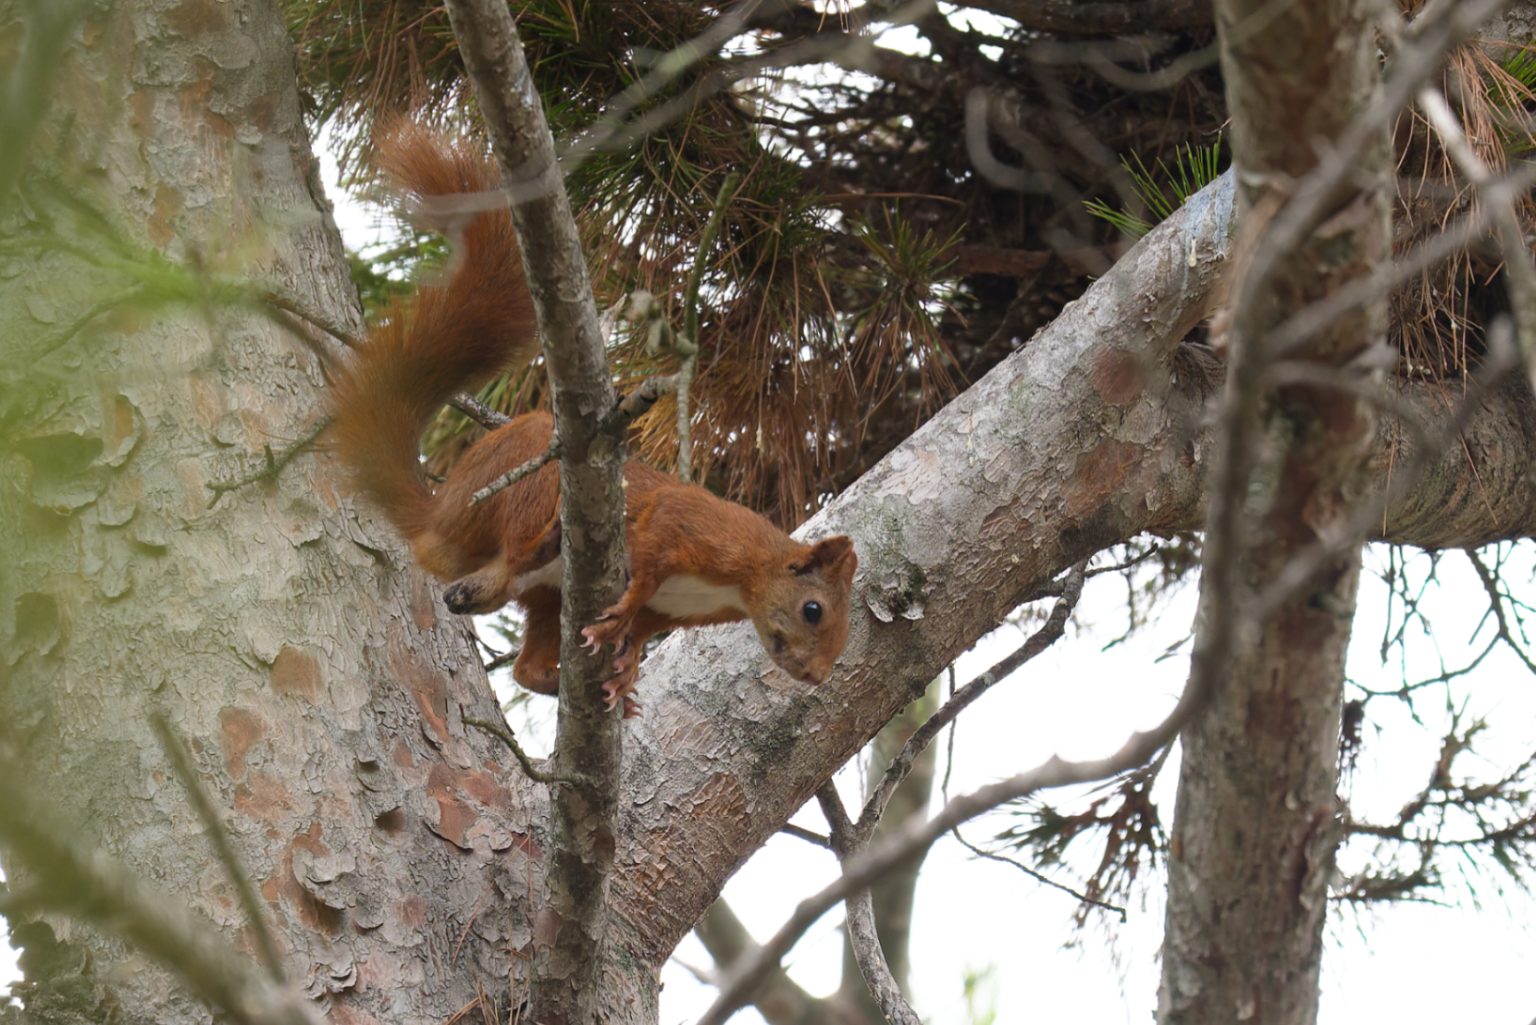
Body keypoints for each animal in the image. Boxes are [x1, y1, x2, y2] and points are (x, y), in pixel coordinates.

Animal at [329, 126, 858, 715]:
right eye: (813, 609)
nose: (816, 675)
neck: (743, 577)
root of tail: (438, 519)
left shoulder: (672, 611)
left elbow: (641, 626)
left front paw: (623, 675)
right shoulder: (690, 525)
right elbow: (649, 556)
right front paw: (623, 611)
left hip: (542, 595)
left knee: (519, 651)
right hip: (525, 482)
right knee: (512, 557)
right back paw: (541, 543)